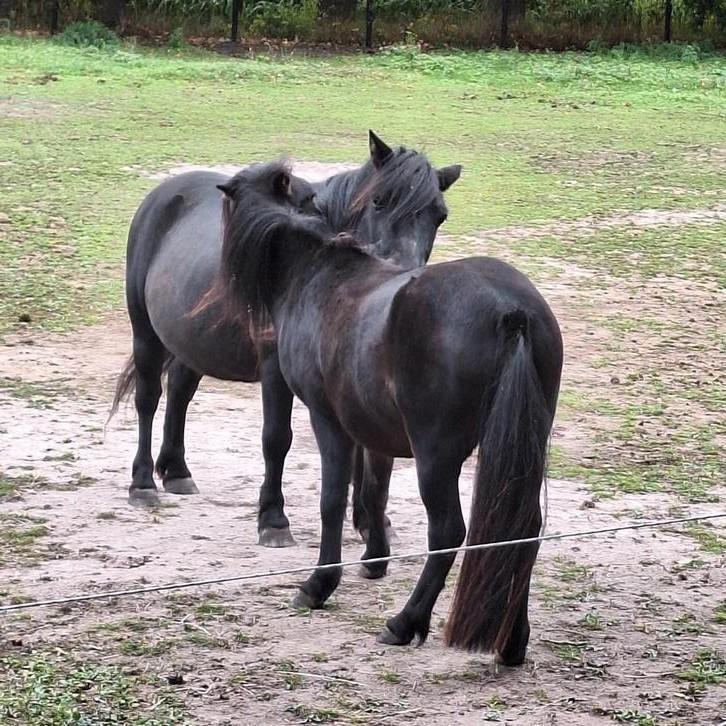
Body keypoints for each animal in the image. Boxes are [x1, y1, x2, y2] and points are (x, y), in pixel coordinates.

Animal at [111, 131, 461, 548]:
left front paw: (369, 520)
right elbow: (277, 439)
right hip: (145, 333)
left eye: (439, 215)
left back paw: (176, 471)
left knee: (180, 390)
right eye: (379, 200)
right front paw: (273, 519)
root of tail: (164, 193)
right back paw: (143, 482)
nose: (403, 274)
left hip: (192, 340)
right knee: (148, 398)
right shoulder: (275, 370)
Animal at [215, 161, 563, 665]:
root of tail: (510, 308)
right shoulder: (371, 432)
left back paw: (404, 622)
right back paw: (512, 642)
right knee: (523, 528)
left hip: (436, 458)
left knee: (448, 532)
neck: (318, 277)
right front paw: (373, 558)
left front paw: (320, 583)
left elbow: (333, 500)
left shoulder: (328, 421)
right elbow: (374, 490)